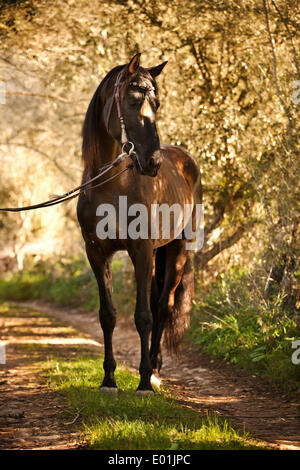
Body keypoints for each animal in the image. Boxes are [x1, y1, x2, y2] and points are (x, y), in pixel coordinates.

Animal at [77, 53, 202, 394]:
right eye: (132, 101)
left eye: (156, 104)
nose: (153, 162)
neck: (111, 186)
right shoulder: (96, 253)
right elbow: (107, 315)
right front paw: (108, 379)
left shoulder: (142, 251)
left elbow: (144, 316)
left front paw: (144, 380)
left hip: (177, 251)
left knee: (163, 306)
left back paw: (156, 369)